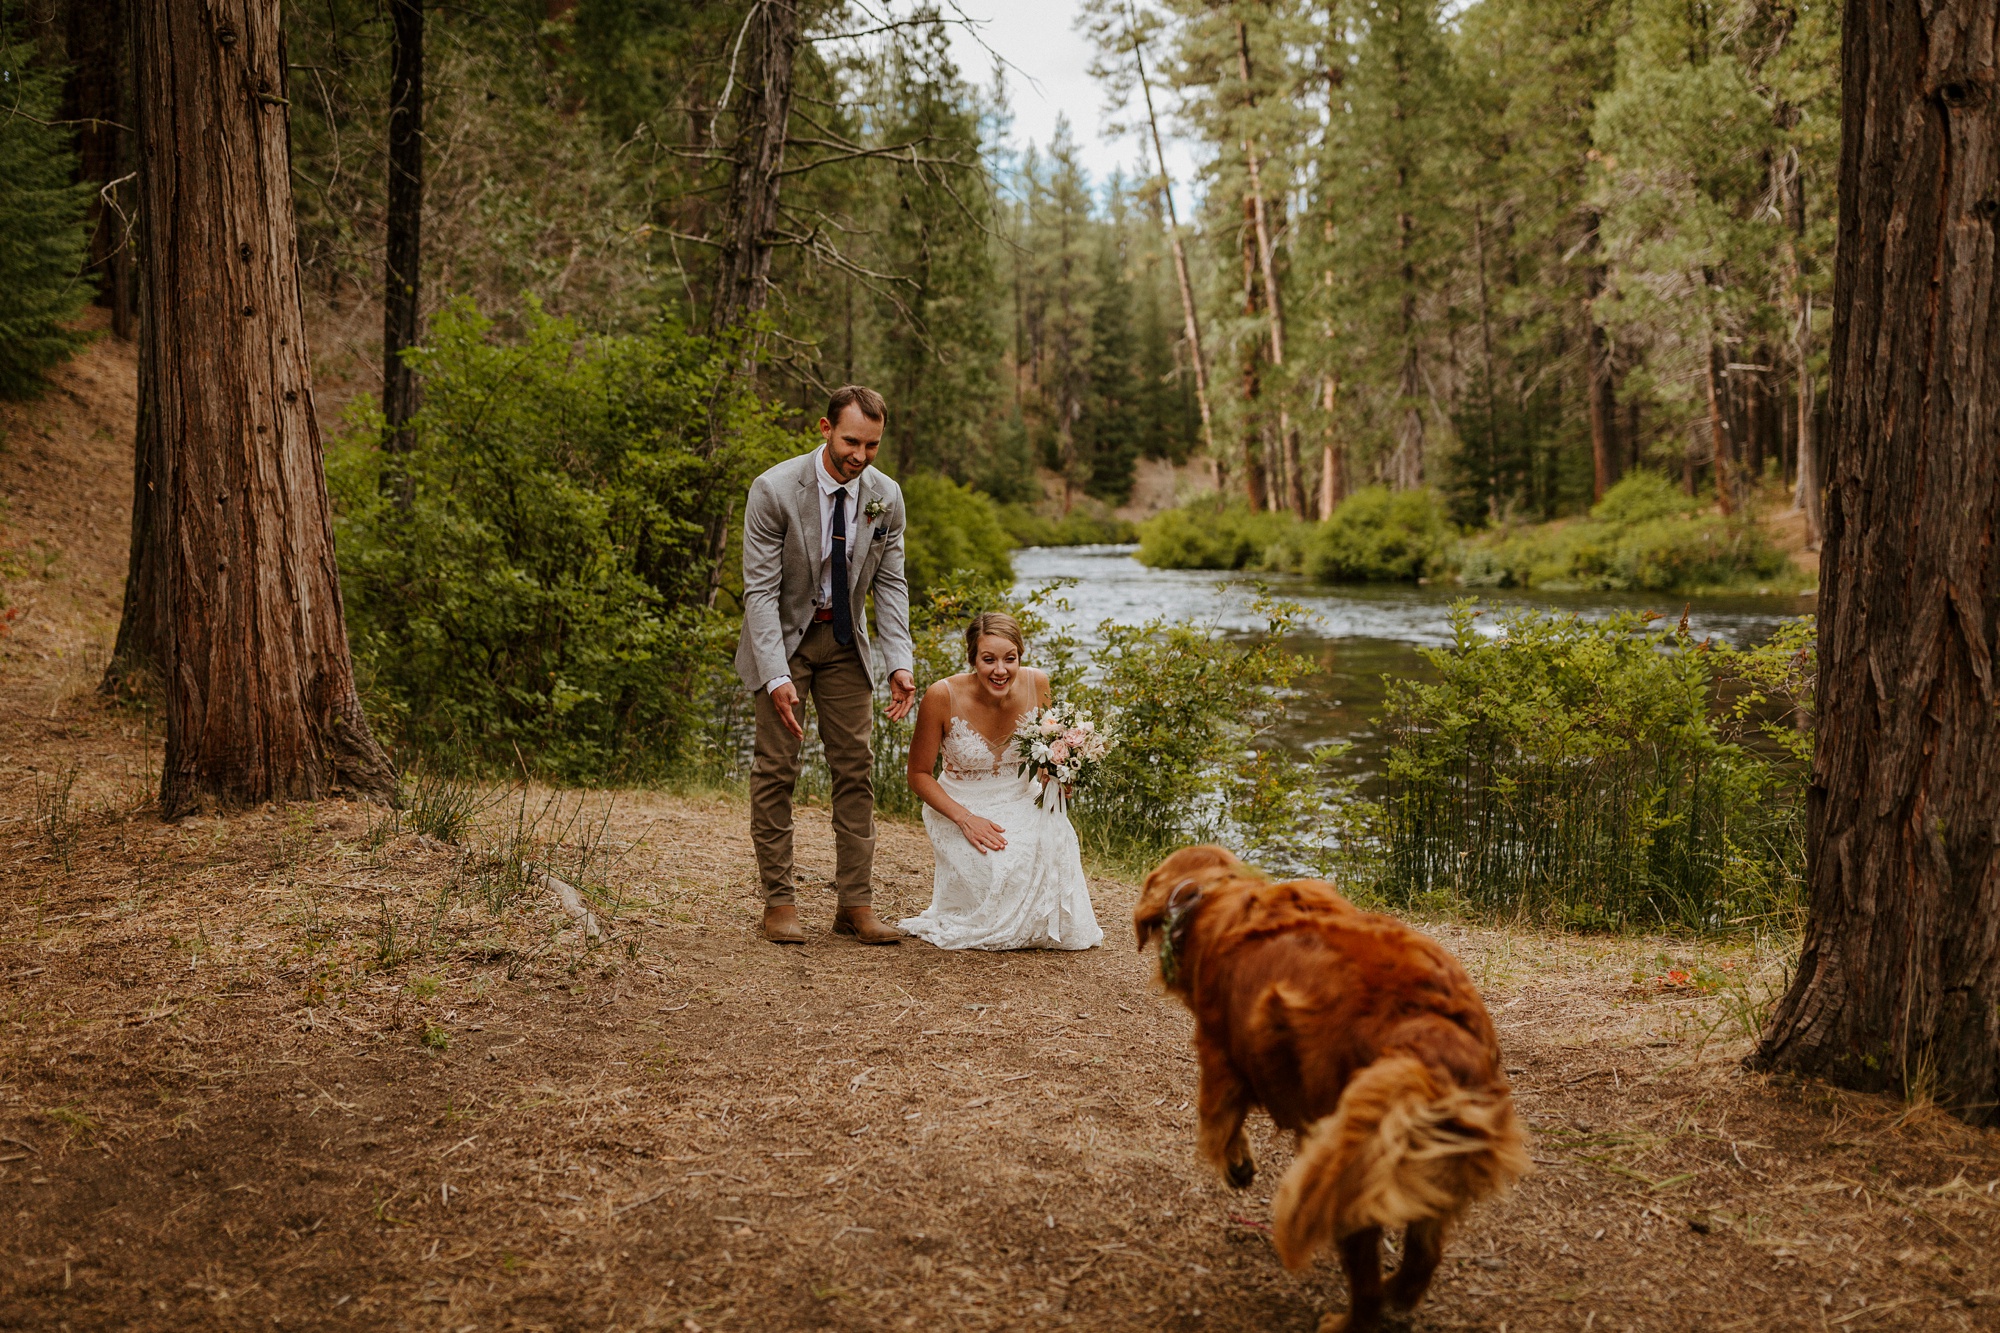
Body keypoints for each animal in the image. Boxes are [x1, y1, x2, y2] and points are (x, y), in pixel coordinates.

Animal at [1136, 844, 1520, 1320]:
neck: (1214, 899)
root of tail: (1431, 1037)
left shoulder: (1219, 1056)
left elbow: (1220, 1122)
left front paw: (1236, 1164)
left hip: (1348, 1177)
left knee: (1367, 1289)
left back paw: (1346, 1319)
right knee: (1424, 1257)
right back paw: (1399, 1294)